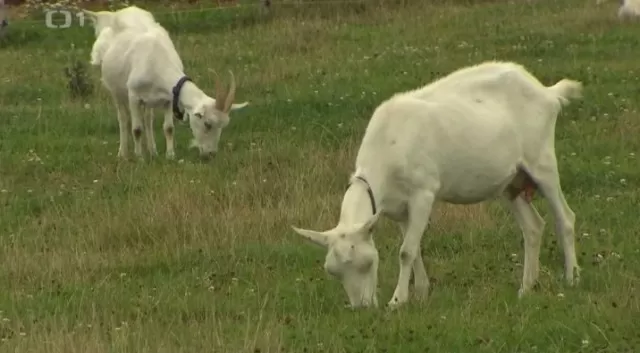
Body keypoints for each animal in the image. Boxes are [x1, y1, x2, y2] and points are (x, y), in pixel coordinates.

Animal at [83, 8, 248, 160]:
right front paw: (139, 158)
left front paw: (170, 155)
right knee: (123, 119)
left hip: (147, 101)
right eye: (207, 123)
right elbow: (136, 129)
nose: (211, 154)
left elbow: (168, 128)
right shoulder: (134, 96)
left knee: (148, 120)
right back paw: (123, 154)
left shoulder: (170, 98)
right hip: (116, 91)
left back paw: (153, 151)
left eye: (223, 125)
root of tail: (115, 14)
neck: (155, 59)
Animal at [292, 60, 584, 308]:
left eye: (367, 263)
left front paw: (397, 301)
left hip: (541, 161)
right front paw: (421, 292)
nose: (362, 307)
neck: (386, 149)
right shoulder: (399, 208)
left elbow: (406, 251)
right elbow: (414, 248)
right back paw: (526, 288)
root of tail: (548, 92)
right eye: (333, 272)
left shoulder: (423, 193)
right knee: (533, 227)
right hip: (510, 183)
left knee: (566, 217)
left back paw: (571, 278)